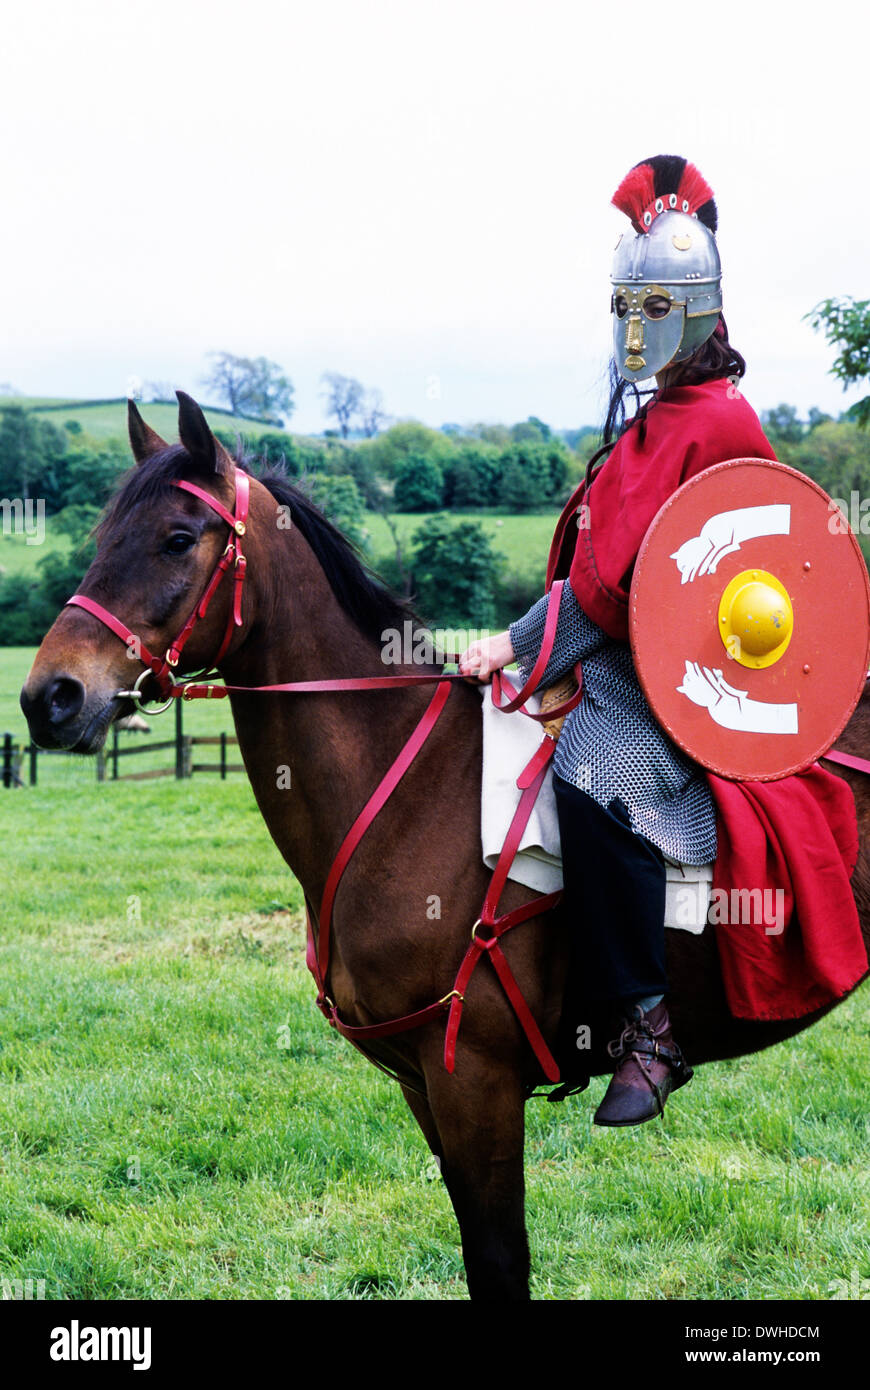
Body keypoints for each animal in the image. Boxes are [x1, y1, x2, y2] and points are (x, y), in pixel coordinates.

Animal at [18, 394, 867, 1301]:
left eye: (178, 538)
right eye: (102, 535)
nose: (49, 697)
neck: (403, 779)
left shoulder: (475, 1084)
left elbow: (499, 1262)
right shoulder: (426, 1090)